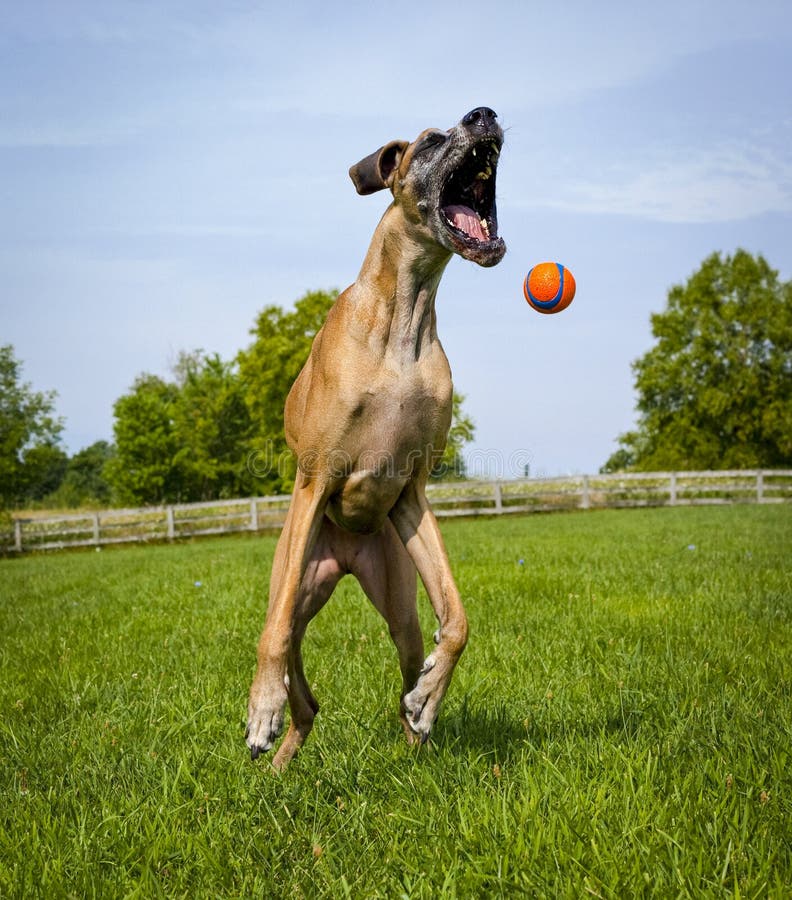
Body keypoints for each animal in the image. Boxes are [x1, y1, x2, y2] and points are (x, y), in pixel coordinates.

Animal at [248, 105, 508, 768]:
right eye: (432, 141)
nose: (485, 114)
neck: (404, 317)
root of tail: (347, 552)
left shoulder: (412, 492)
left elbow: (458, 618)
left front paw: (429, 700)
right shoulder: (316, 478)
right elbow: (273, 634)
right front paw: (260, 708)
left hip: (397, 594)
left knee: (404, 661)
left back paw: (417, 731)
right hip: (297, 571)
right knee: (290, 652)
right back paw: (277, 742)